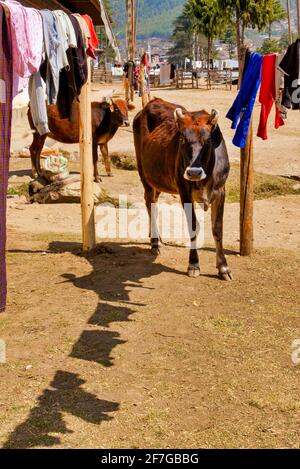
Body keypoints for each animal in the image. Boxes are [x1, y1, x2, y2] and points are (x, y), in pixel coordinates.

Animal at [132, 97, 233, 280]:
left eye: (208, 140)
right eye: (182, 139)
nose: (193, 172)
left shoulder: (221, 191)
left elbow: (217, 228)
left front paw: (223, 267)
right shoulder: (184, 191)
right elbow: (193, 226)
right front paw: (193, 264)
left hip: (159, 180)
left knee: (153, 202)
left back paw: (156, 237)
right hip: (144, 173)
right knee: (149, 202)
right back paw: (155, 242)